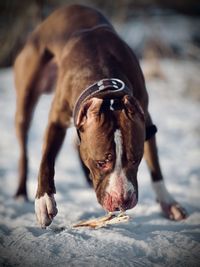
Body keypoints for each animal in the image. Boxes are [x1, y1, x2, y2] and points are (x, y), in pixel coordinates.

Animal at [13, 4, 186, 228]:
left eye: (135, 160)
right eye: (101, 163)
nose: (122, 200)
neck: (106, 85)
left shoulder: (145, 120)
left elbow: (155, 164)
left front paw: (168, 203)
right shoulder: (56, 121)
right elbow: (47, 159)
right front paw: (44, 201)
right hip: (26, 98)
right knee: (24, 149)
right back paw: (20, 193)